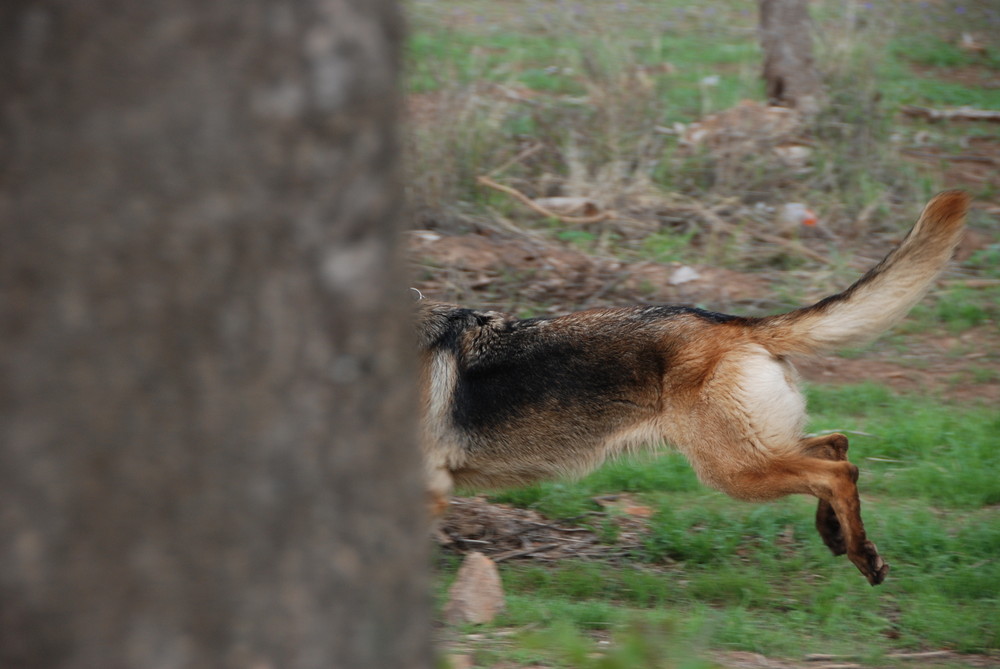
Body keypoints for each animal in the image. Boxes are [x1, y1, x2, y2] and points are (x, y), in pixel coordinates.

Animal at [416, 190, 968, 580]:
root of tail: (737, 323)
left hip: (735, 469)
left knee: (838, 471)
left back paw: (858, 554)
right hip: (753, 453)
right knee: (835, 445)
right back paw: (836, 536)